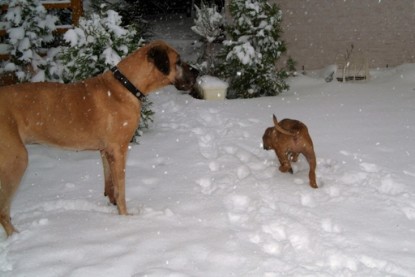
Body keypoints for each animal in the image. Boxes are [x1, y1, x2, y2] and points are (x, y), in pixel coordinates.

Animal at [0, 40, 200, 235]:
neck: (127, 85)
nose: (197, 71)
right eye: (178, 61)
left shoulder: (106, 151)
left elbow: (109, 182)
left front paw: (112, 205)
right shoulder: (119, 150)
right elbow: (121, 189)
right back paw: (16, 235)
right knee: (3, 209)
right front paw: (126, 218)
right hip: (16, 160)